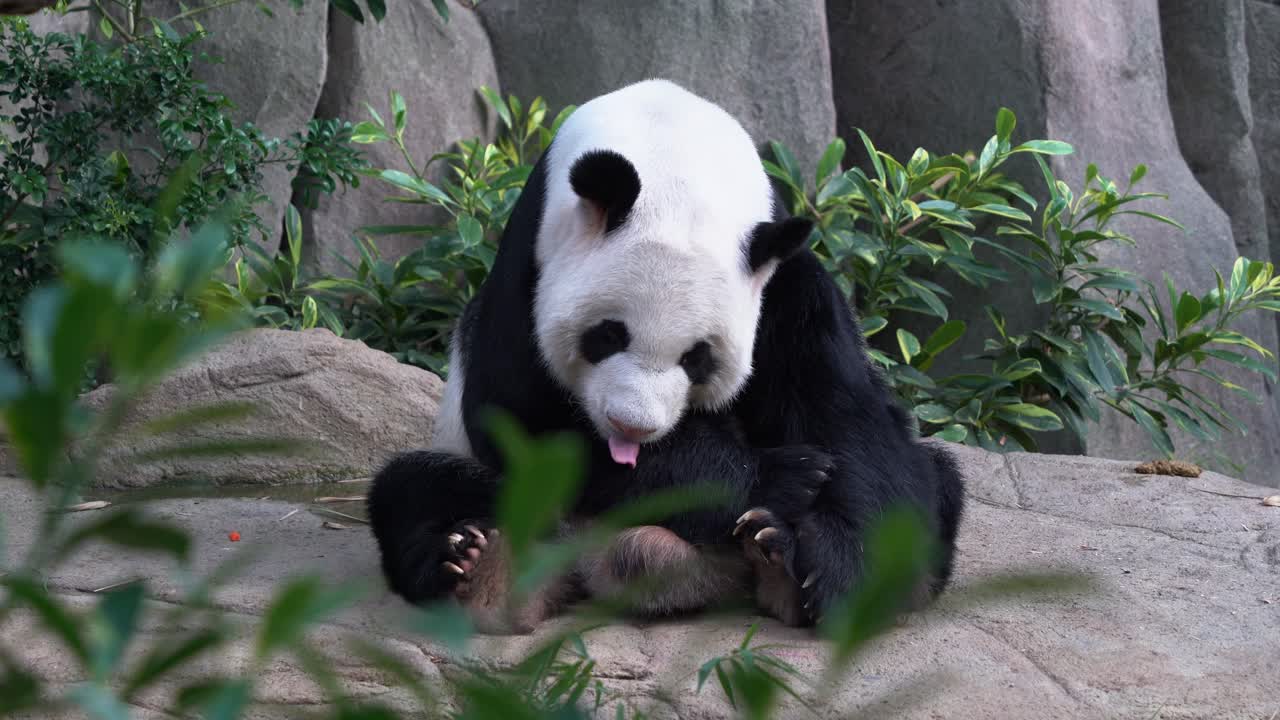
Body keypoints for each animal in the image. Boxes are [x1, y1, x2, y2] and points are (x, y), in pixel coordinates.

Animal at [366, 79, 965, 633]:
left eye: (697, 358)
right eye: (608, 335)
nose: (631, 428)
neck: (673, 158)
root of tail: (593, 562)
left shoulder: (785, 284)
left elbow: (844, 417)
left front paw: (836, 570)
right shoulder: (529, 264)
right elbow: (521, 417)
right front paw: (779, 475)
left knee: (936, 481)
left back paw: (776, 561)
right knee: (418, 490)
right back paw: (475, 563)